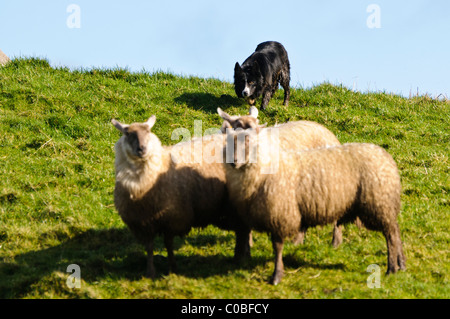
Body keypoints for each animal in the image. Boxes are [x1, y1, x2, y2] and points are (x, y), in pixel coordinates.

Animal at [110, 116, 248, 278]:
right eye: (127, 133)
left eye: (148, 131)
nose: (142, 149)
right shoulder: (143, 223)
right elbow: (149, 247)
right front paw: (150, 271)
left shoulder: (172, 218)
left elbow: (168, 244)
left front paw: (173, 267)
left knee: (242, 231)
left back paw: (241, 257)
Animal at [223, 126, 406, 286]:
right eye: (229, 143)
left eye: (248, 142)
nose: (234, 162)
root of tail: (387, 157)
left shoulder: (280, 213)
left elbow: (277, 247)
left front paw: (276, 276)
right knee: (396, 230)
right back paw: (401, 264)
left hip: (379, 204)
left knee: (390, 235)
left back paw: (392, 268)